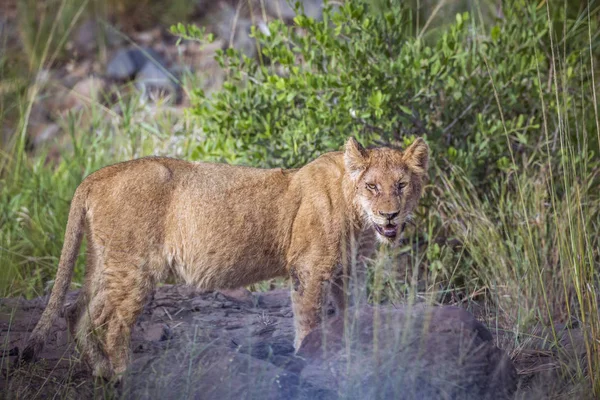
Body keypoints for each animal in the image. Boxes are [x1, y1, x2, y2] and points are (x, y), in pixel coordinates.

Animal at [21, 136, 428, 376]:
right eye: (371, 186)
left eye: (401, 185)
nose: (390, 216)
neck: (357, 216)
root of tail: (96, 176)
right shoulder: (309, 269)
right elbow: (309, 321)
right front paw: (309, 359)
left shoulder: (347, 273)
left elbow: (350, 315)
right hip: (133, 266)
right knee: (115, 323)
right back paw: (123, 376)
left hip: (107, 261)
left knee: (76, 310)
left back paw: (102, 373)